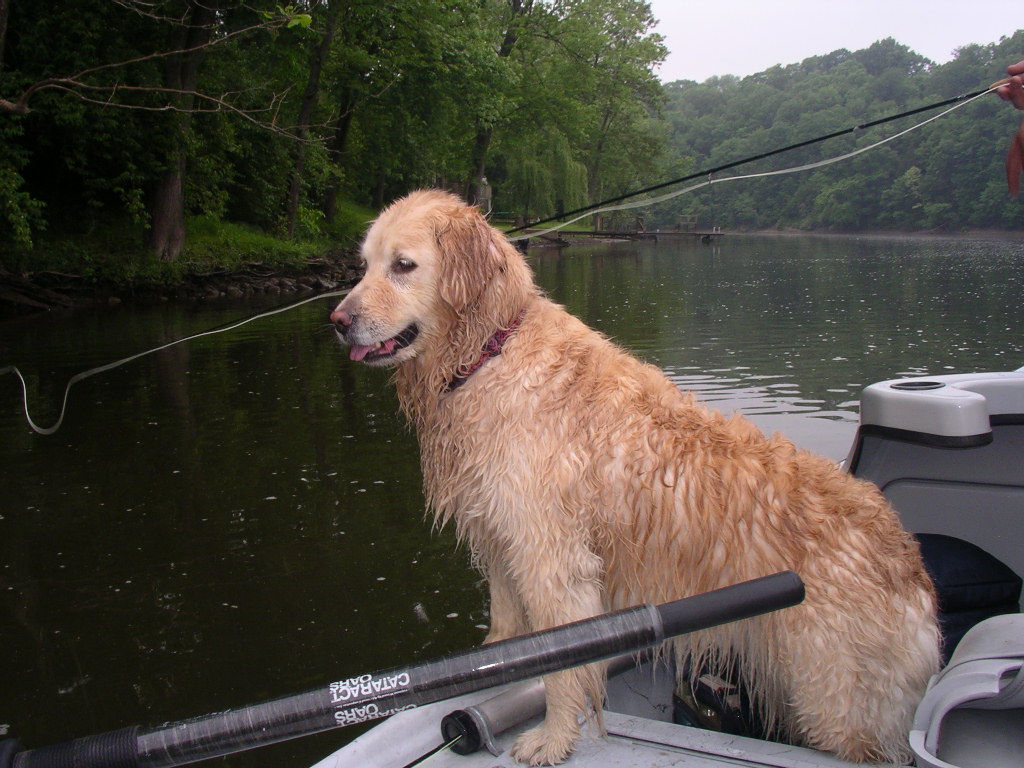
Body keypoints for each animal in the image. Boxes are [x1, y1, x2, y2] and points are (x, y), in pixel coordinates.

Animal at [329, 189, 942, 765]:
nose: (338, 322)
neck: (489, 353)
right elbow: (505, 628)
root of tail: (909, 560)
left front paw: (553, 738)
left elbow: (562, 672)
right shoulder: (502, 539)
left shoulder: (552, 558)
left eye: (403, 265)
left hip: (835, 705)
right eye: (363, 265)